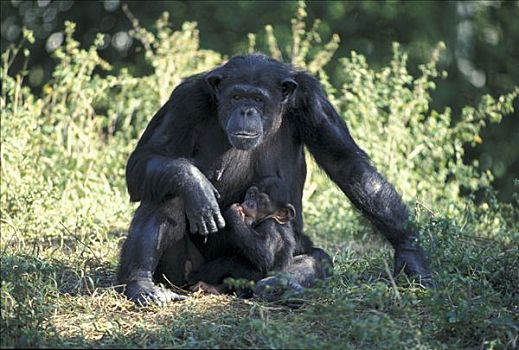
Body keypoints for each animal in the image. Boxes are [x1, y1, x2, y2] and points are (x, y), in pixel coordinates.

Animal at [119, 52, 434, 306]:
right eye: (237, 96)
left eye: (258, 99)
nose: (246, 110)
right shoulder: (186, 99)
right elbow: (147, 157)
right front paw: (194, 183)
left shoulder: (312, 100)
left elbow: (346, 163)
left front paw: (410, 254)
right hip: (181, 272)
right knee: (169, 193)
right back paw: (142, 284)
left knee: (318, 258)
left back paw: (281, 285)